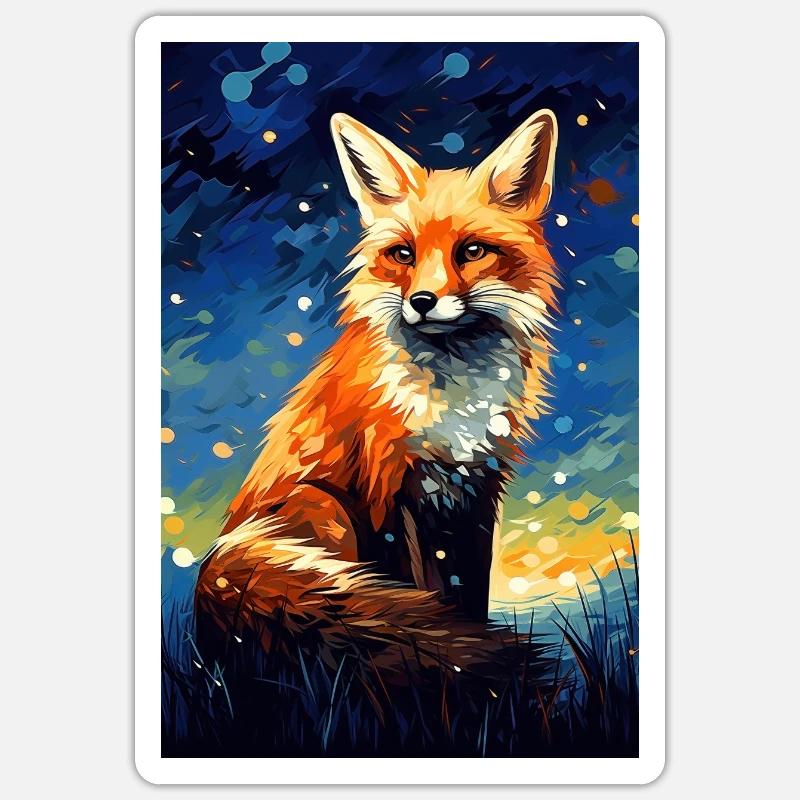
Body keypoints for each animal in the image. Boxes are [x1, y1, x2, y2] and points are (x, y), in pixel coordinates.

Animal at [195, 109, 560, 676]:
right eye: (403, 254)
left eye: (472, 251)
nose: (423, 301)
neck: (452, 401)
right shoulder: (385, 485)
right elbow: (409, 586)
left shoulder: (477, 487)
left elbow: (468, 594)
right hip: (321, 504)